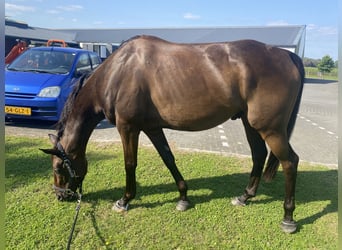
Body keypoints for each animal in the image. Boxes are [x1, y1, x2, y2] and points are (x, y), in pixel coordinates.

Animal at [40, 35, 304, 232]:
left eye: (58, 168)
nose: (61, 196)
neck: (117, 72)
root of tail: (286, 55)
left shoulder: (128, 127)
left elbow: (130, 164)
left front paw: (124, 200)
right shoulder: (152, 127)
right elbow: (168, 159)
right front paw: (183, 197)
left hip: (270, 128)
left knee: (290, 161)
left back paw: (288, 218)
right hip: (251, 124)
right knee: (259, 155)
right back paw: (244, 197)